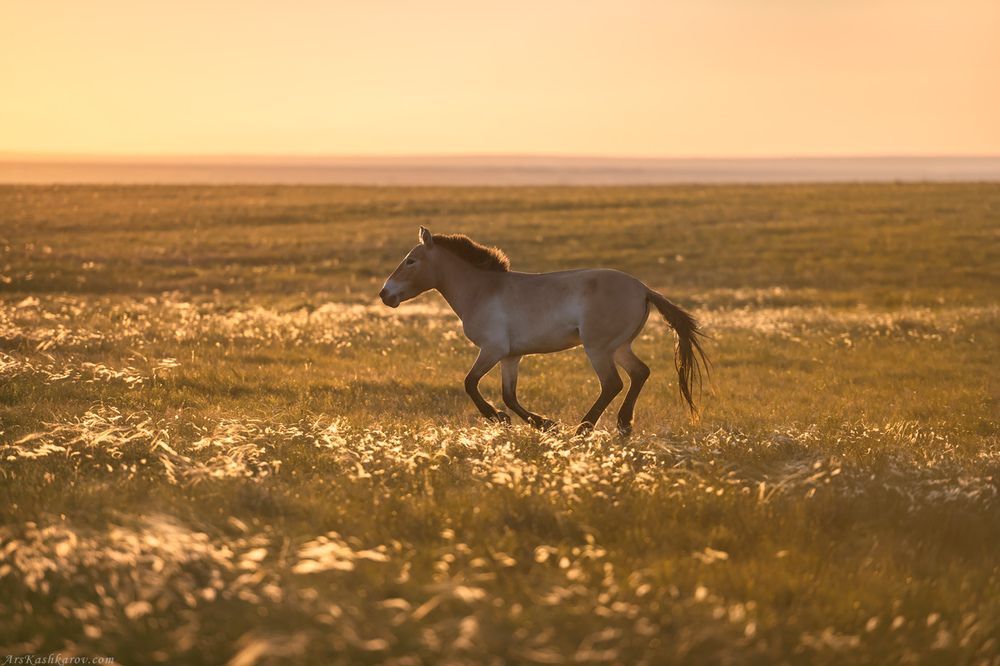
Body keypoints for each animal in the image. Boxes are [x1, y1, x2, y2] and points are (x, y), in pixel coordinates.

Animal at [379, 226, 709, 435]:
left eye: (410, 260)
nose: (385, 294)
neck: (482, 290)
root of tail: (643, 289)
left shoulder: (492, 350)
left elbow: (470, 383)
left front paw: (501, 419)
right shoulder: (510, 356)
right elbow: (509, 395)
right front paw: (541, 423)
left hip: (598, 348)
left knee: (612, 383)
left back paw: (583, 429)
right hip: (619, 347)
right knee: (640, 373)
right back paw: (623, 425)